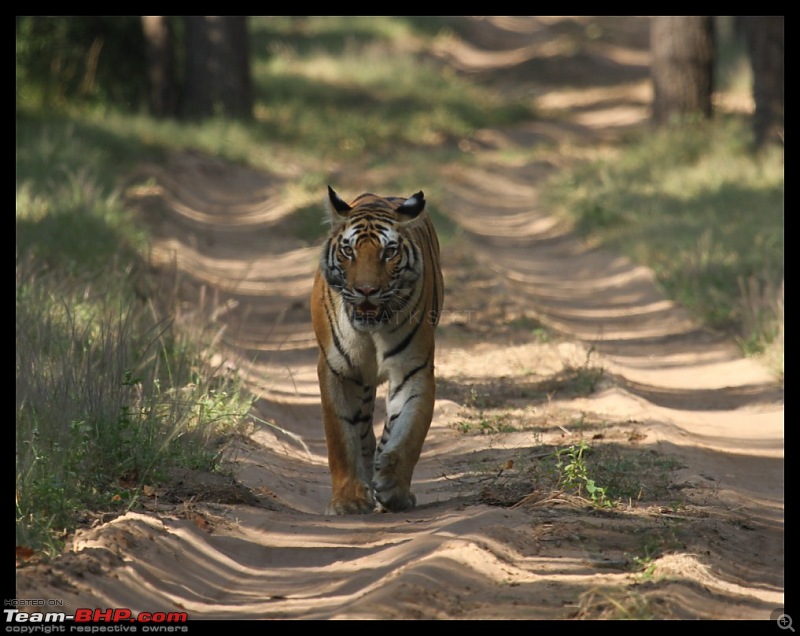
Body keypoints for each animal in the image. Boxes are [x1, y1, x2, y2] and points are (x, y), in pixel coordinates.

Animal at [310, 186, 444, 516]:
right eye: (349, 251)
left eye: (389, 252)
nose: (366, 290)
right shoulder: (336, 370)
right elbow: (340, 436)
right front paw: (347, 500)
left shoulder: (414, 369)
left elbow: (408, 431)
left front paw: (393, 488)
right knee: (361, 431)